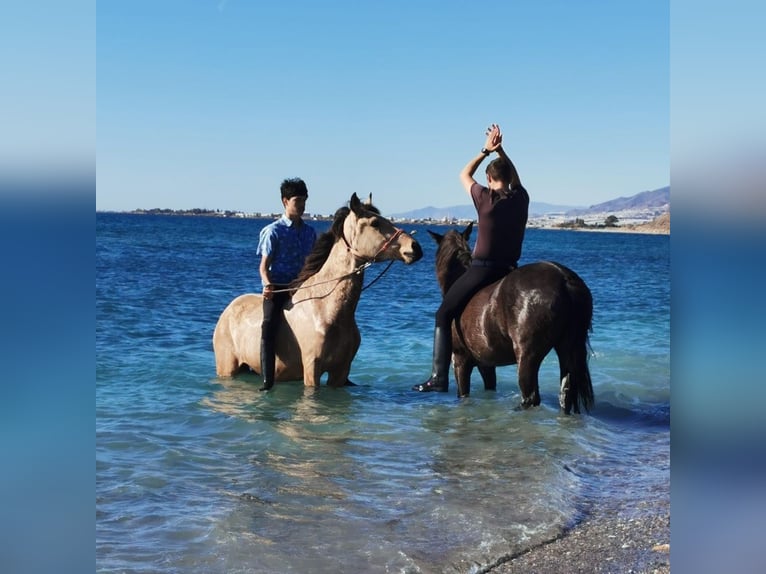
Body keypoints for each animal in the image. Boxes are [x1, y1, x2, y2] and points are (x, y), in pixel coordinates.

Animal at [213, 196, 424, 390]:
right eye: (375, 223)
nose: (415, 247)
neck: (326, 309)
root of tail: (228, 310)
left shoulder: (340, 371)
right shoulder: (311, 368)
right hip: (227, 368)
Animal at [428, 223, 596, 416]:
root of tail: (563, 277)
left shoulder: (461, 361)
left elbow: (463, 394)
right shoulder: (486, 364)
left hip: (527, 355)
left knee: (530, 397)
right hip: (567, 348)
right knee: (565, 393)